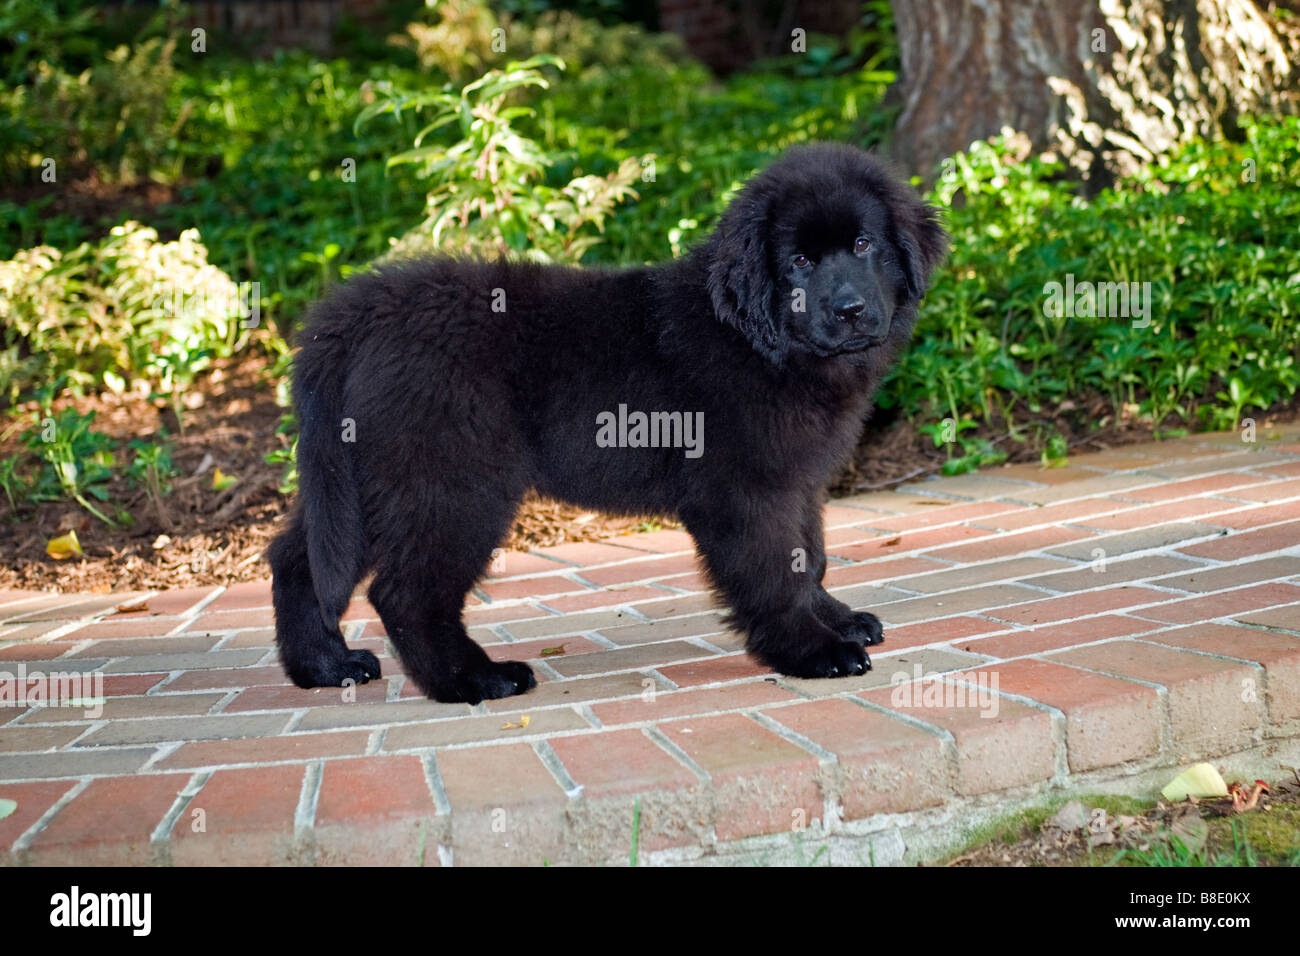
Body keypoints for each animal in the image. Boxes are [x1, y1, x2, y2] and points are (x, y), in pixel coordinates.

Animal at [269, 145, 951, 707]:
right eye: (800, 262)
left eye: (863, 246)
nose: (850, 309)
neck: (758, 340)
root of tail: (362, 310)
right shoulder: (744, 488)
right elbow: (773, 570)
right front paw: (812, 649)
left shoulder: (797, 481)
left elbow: (811, 555)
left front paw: (834, 618)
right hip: (452, 482)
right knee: (406, 593)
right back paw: (474, 680)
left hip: (363, 481)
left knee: (298, 558)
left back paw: (326, 667)